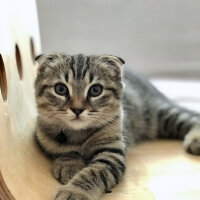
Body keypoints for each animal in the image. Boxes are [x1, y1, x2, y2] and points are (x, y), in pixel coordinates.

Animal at [35, 53, 200, 200]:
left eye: (95, 90)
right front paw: (69, 165)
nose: (77, 109)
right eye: (60, 89)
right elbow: (63, 150)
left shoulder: (112, 152)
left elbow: (92, 174)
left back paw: (196, 140)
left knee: (192, 117)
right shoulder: (44, 136)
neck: (78, 133)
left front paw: (74, 192)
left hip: (162, 114)